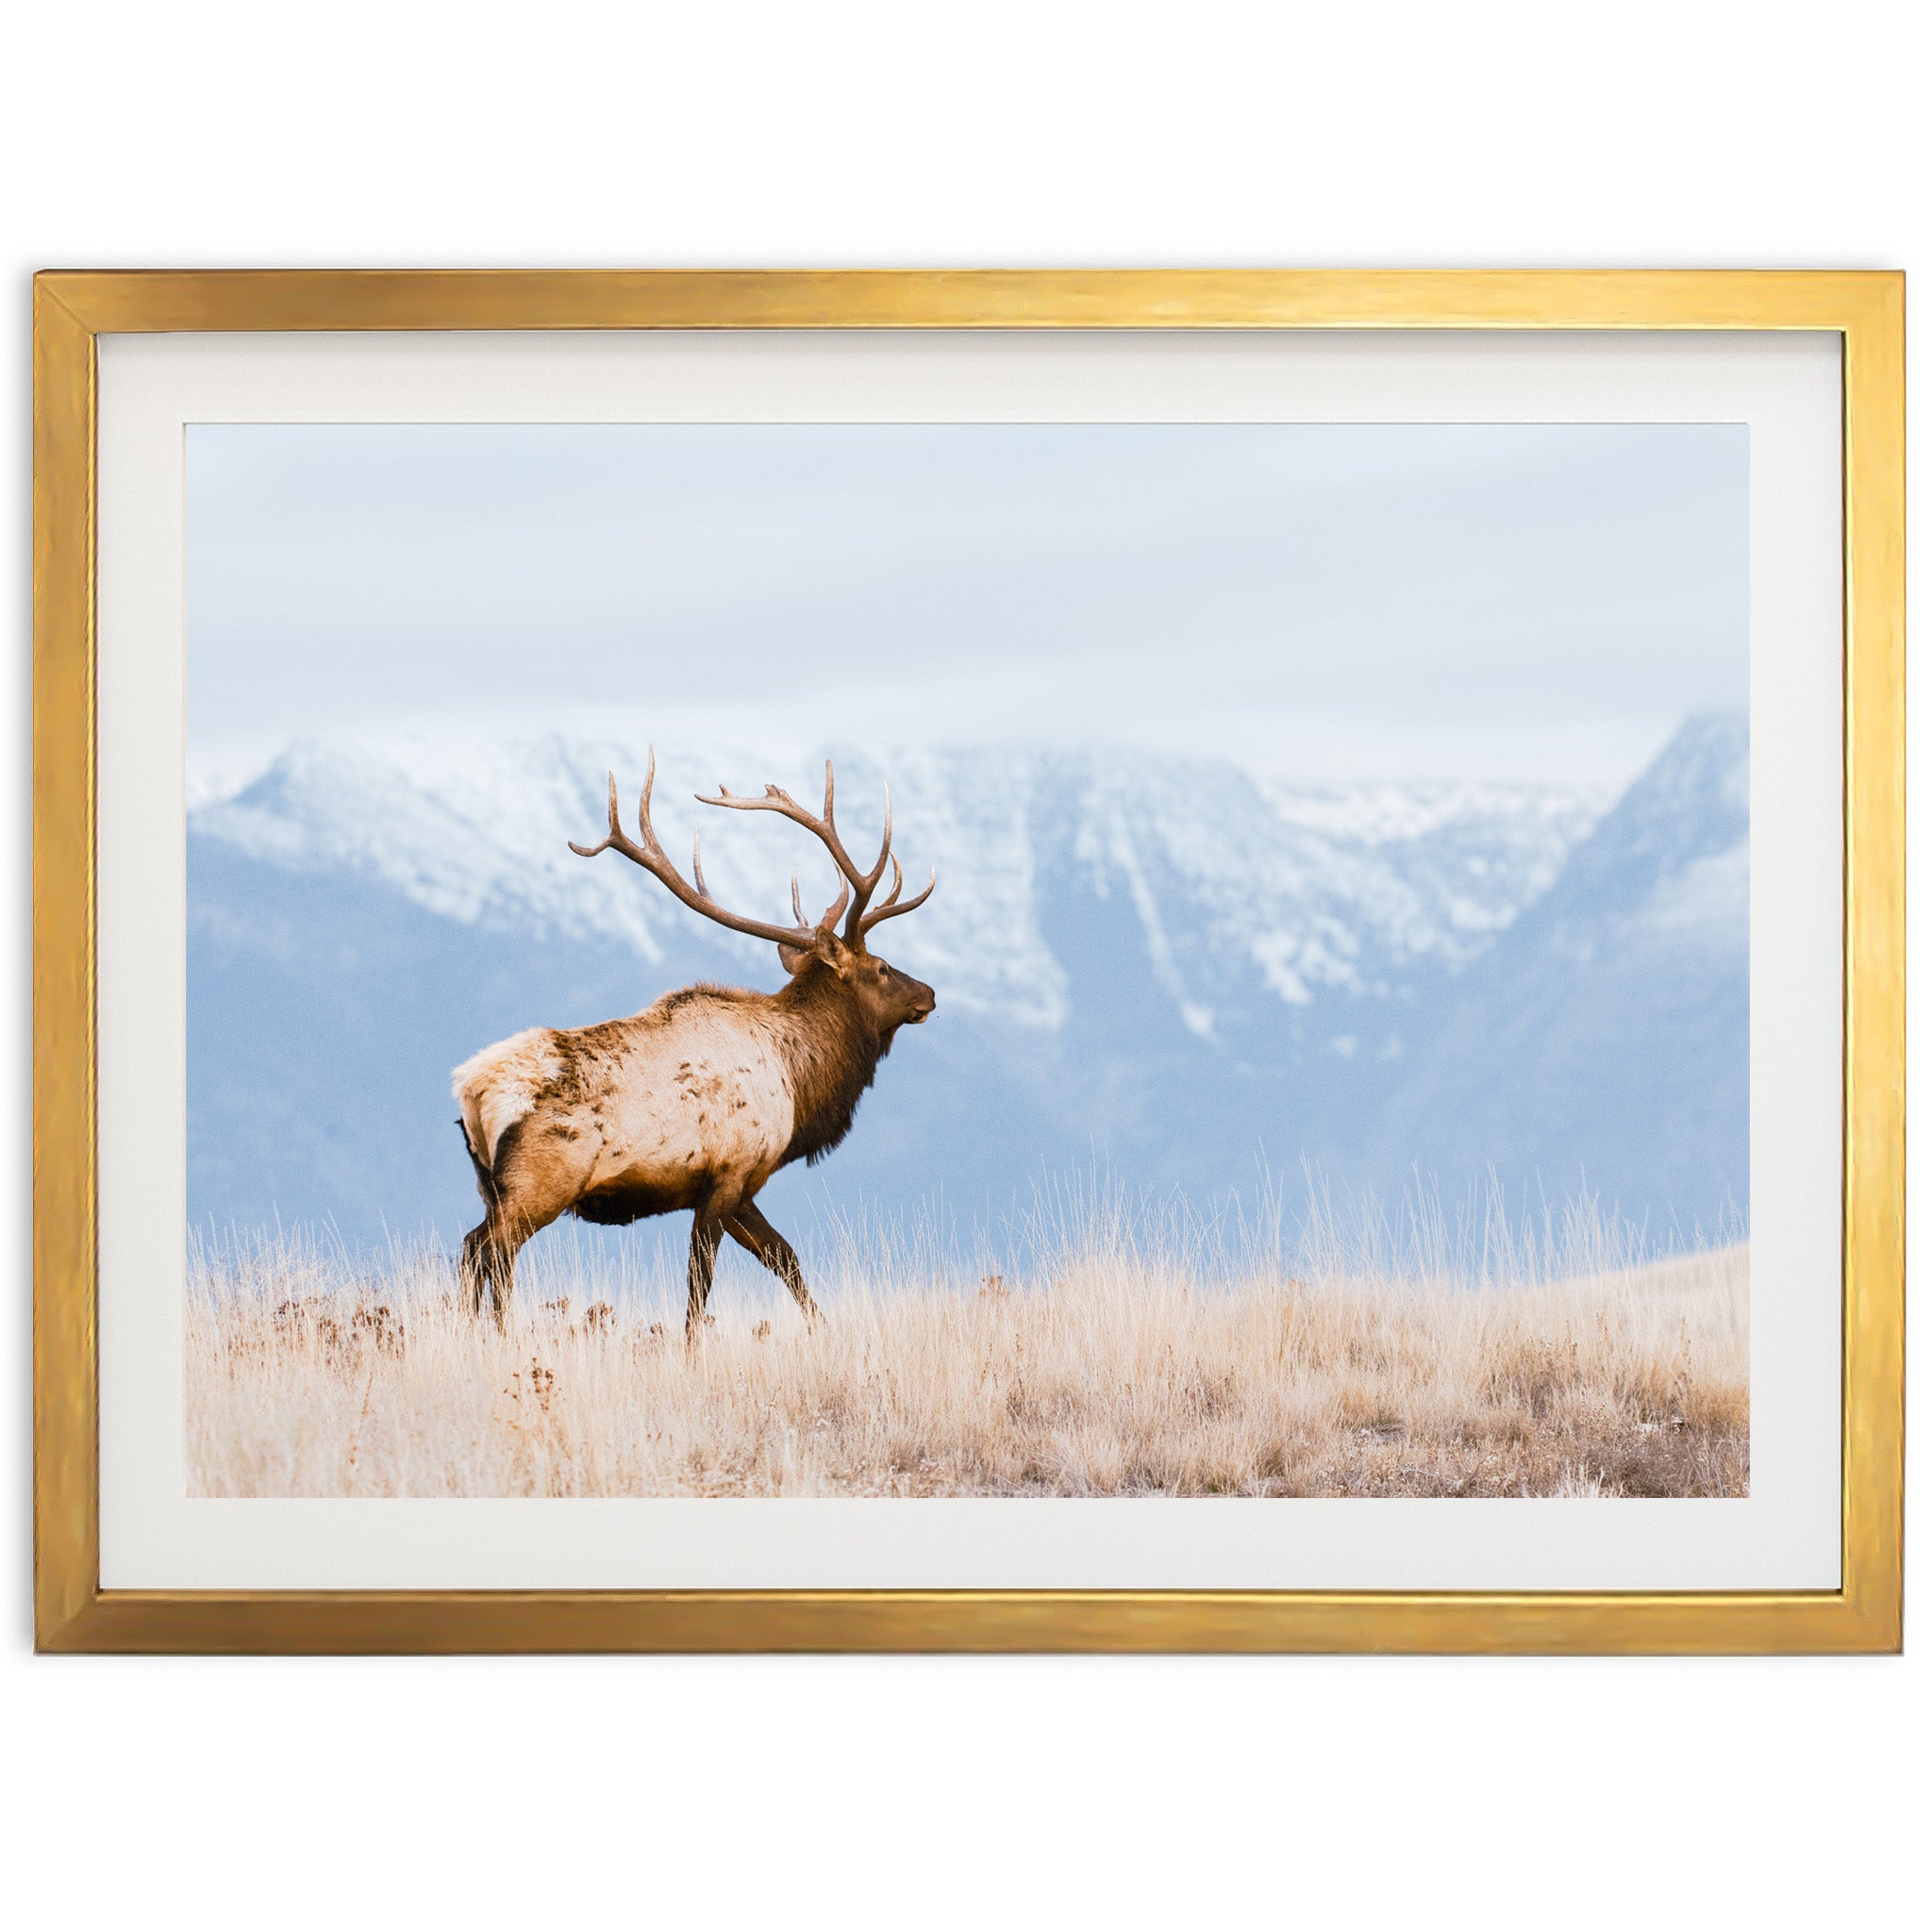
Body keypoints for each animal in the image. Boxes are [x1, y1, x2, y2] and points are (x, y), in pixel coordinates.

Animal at [452, 745, 935, 1337]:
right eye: (883, 968)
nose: (930, 994)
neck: (800, 1084)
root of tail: (471, 1089)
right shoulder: (728, 1173)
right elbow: (699, 1286)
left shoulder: (742, 1186)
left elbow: (785, 1258)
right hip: (539, 1183)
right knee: (487, 1252)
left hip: (490, 1185)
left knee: (481, 1252)